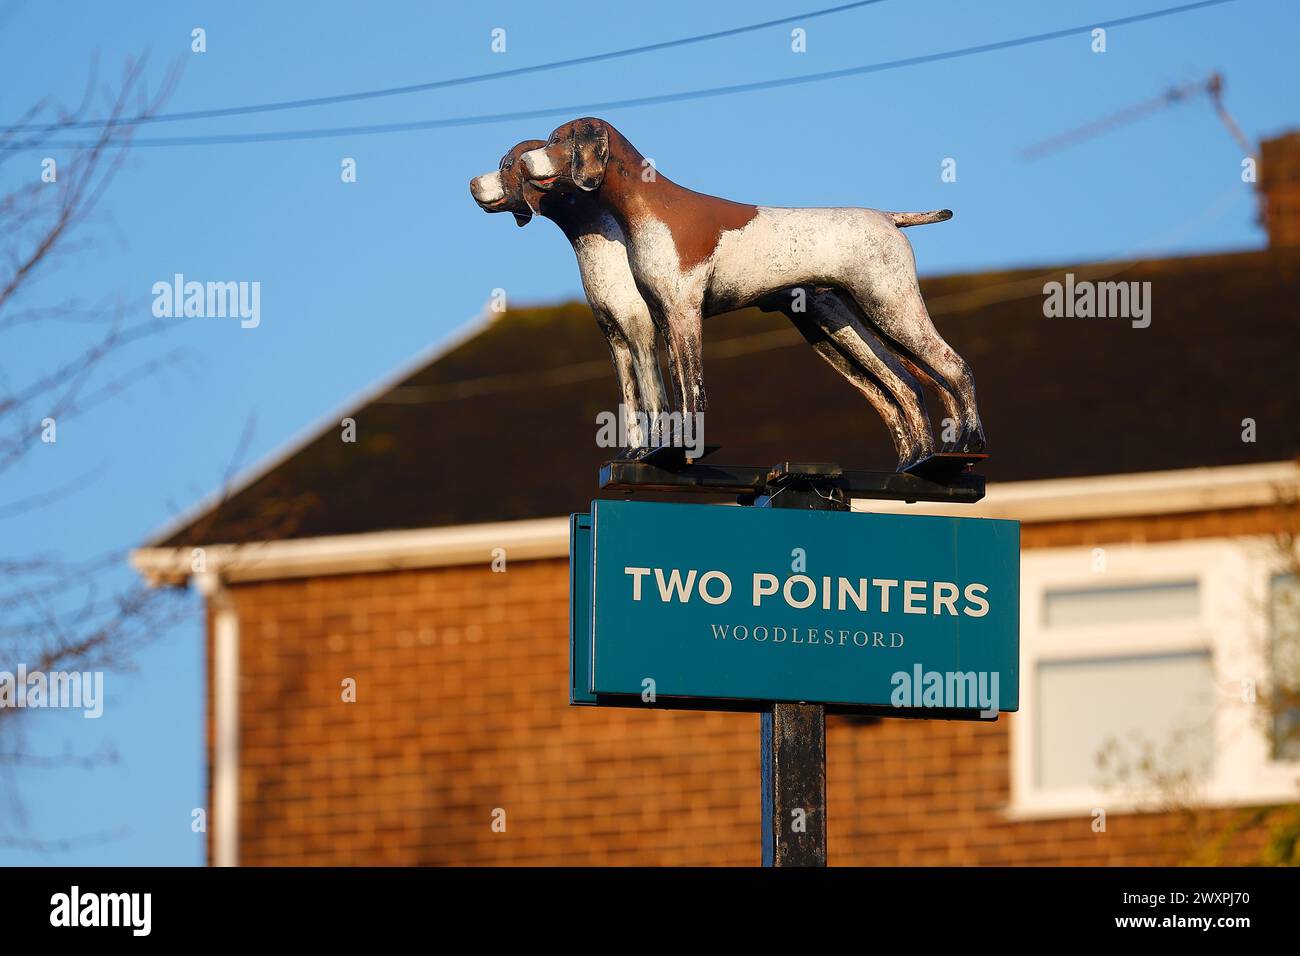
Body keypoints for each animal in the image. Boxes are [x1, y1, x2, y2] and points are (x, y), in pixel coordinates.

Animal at [522, 117, 977, 455]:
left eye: (557, 140)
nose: (523, 161)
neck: (650, 210)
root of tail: (888, 217)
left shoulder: (685, 313)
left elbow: (694, 389)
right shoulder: (665, 319)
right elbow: (679, 389)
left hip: (891, 306)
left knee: (954, 366)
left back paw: (970, 441)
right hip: (851, 326)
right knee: (913, 384)